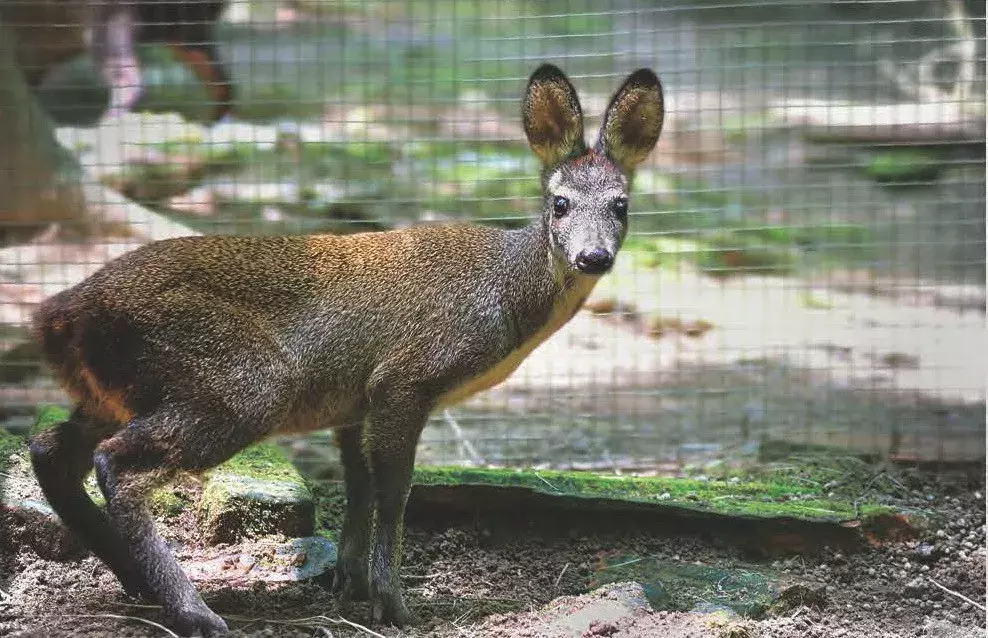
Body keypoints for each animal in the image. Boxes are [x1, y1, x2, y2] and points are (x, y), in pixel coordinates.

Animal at [29, 65, 664, 636]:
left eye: (621, 205)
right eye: (559, 203)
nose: (593, 256)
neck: (507, 297)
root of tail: (57, 313)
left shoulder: (351, 401)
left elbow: (358, 488)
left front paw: (351, 582)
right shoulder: (405, 376)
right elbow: (396, 489)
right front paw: (394, 604)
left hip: (119, 392)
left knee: (50, 448)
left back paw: (137, 581)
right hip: (241, 382)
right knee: (117, 463)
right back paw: (195, 614)